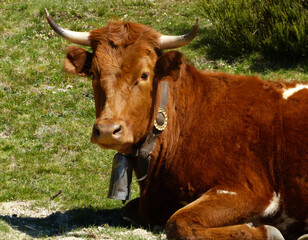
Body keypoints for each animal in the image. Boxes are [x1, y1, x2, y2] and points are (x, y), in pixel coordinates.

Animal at [45, 9, 308, 240]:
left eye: (144, 74)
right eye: (94, 74)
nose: (108, 130)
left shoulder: (250, 189)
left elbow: (179, 222)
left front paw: (267, 231)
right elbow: (129, 211)